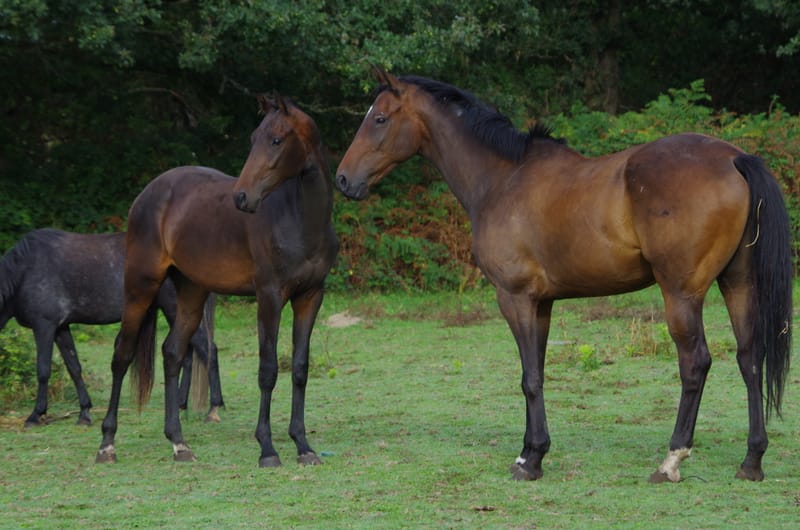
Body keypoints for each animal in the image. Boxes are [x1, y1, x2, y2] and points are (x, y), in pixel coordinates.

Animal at [0, 227, 222, 424]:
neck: (24, 271)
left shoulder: (44, 326)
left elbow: (43, 370)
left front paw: (36, 414)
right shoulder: (60, 328)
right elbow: (74, 367)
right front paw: (84, 412)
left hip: (175, 309)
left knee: (207, 349)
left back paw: (213, 409)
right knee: (188, 355)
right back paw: (181, 404)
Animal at [95, 93, 340, 464]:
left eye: (276, 140)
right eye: (254, 138)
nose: (242, 197)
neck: (298, 218)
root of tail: (149, 193)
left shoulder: (310, 297)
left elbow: (299, 368)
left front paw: (303, 445)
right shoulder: (269, 297)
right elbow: (268, 370)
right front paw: (267, 448)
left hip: (192, 293)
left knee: (172, 353)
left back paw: (179, 442)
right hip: (140, 286)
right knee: (122, 354)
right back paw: (107, 443)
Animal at [334, 68, 792, 480]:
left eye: (380, 118)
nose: (342, 179)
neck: (503, 179)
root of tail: (734, 158)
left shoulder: (515, 298)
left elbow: (530, 378)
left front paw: (531, 461)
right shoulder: (542, 303)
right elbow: (536, 370)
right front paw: (530, 451)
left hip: (681, 294)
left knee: (695, 363)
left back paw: (672, 460)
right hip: (738, 284)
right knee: (750, 359)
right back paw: (752, 461)